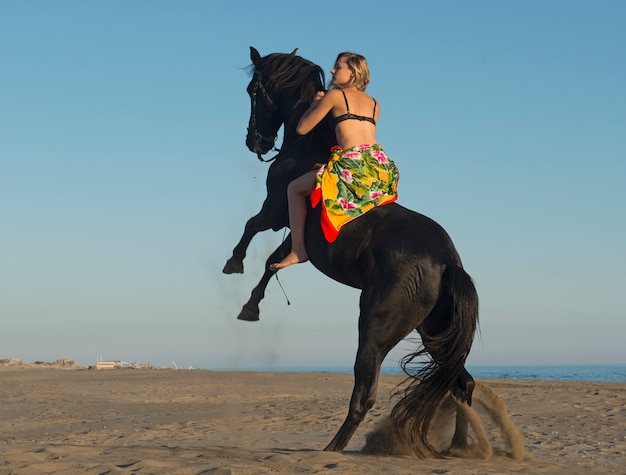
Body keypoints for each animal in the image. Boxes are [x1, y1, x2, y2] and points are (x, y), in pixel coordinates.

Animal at [224, 48, 478, 458]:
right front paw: (251, 306)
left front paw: (233, 264)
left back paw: (333, 448)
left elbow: (251, 229)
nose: (255, 143)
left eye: (253, 91)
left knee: (365, 394)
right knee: (461, 384)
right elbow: (274, 262)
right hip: (435, 332)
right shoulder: (296, 231)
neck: (307, 147)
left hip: (374, 328)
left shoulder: (276, 208)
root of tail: (448, 263)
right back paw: (459, 448)